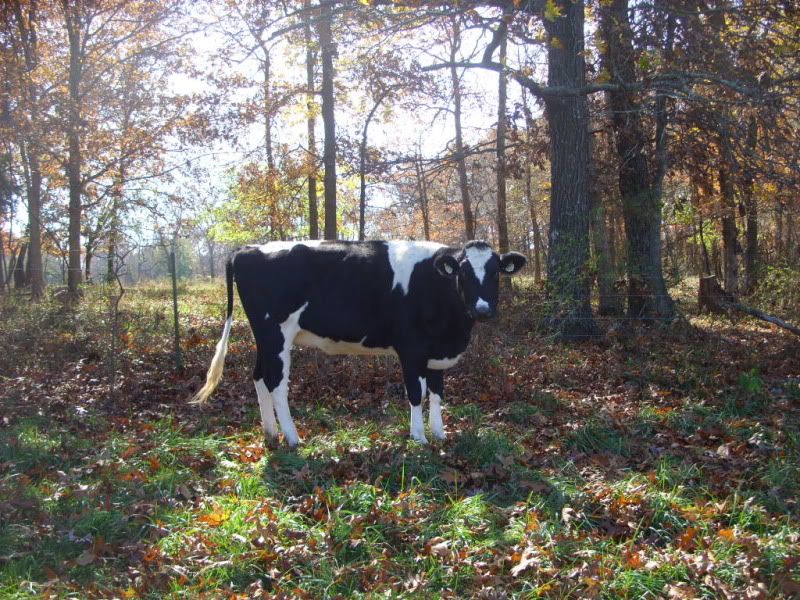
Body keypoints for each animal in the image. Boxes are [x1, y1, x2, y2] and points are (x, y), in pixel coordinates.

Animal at [190, 240, 526, 447]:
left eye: (495, 273)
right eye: (464, 274)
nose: (482, 309)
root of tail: (248, 249)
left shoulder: (436, 353)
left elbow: (437, 393)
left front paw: (439, 433)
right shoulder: (411, 348)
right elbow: (416, 393)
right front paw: (418, 437)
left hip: (264, 337)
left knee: (259, 376)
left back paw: (271, 433)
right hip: (277, 332)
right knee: (277, 383)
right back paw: (293, 438)